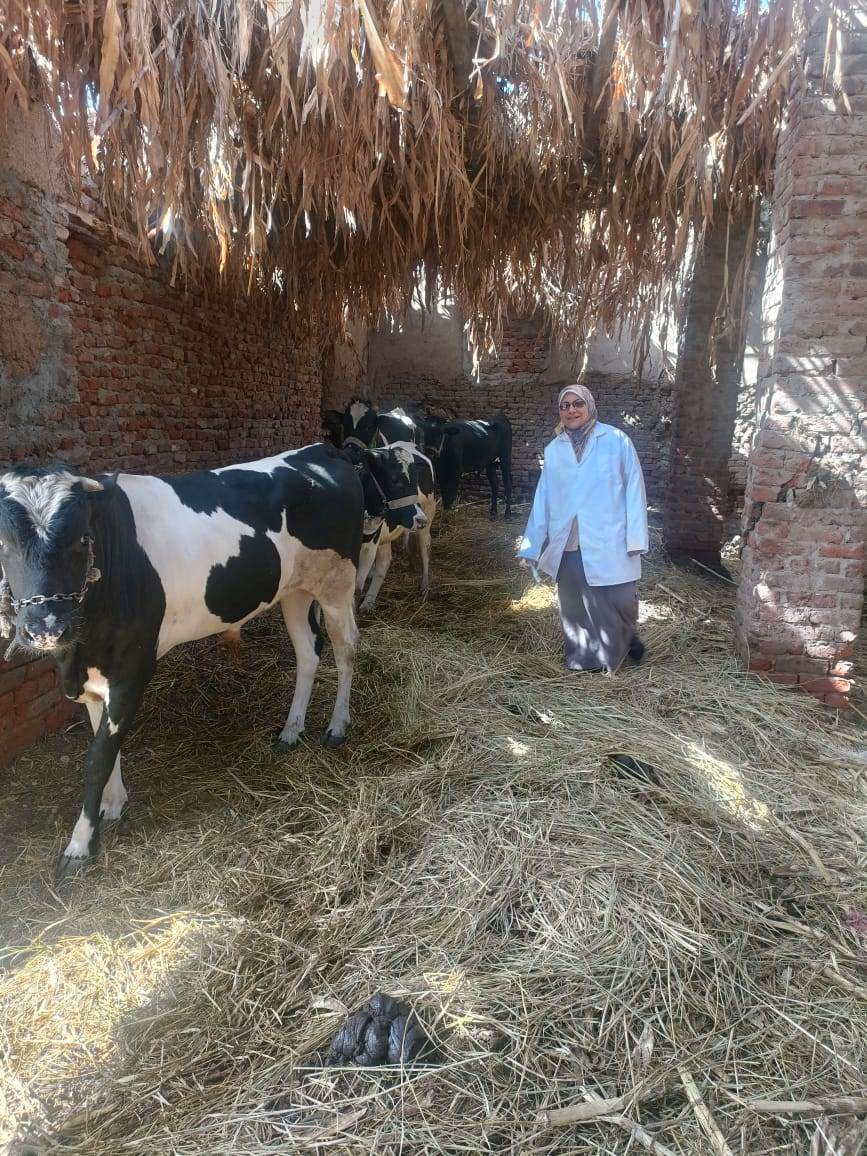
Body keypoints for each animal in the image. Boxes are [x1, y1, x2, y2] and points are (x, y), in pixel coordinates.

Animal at [0, 444, 397, 879]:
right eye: (3, 545)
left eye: (82, 539)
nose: (45, 627)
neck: (79, 653)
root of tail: (322, 450)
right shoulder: (91, 676)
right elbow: (104, 744)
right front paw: (112, 803)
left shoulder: (132, 669)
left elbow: (97, 757)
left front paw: (79, 846)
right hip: (294, 590)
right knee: (308, 654)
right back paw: (291, 730)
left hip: (337, 583)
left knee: (346, 649)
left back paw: (338, 725)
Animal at [346, 442, 436, 612]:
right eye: (394, 480)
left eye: (415, 480)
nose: (419, 519)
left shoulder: (369, 547)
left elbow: (356, 588)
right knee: (384, 562)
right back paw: (368, 603)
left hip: (428, 511)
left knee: (426, 547)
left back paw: (425, 587)